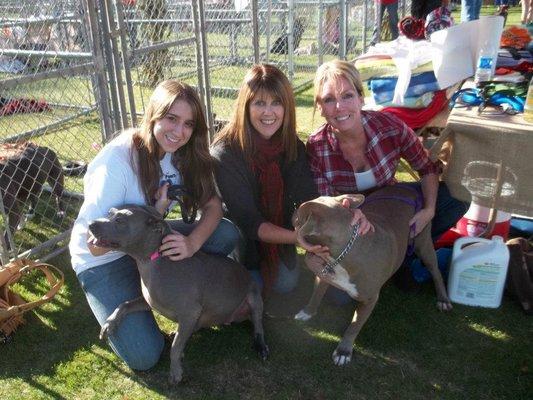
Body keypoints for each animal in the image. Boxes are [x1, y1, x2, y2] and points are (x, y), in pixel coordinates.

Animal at [90, 206, 270, 384]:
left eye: (120, 220)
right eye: (110, 213)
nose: (91, 224)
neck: (152, 261)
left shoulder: (190, 313)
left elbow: (175, 347)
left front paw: (175, 372)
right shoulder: (150, 302)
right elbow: (124, 304)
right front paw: (109, 323)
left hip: (254, 299)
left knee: (259, 327)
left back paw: (261, 346)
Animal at [294, 185, 450, 366]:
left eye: (298, 217)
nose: (293, 210)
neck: (342, 254)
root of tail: (406, 188)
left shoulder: (369, 300)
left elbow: (354, 325)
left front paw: (344, 351)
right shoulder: (323, 274)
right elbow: (317, 294)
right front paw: (308, 312)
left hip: (423, 240)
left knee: (435, 270)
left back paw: (443, 299)